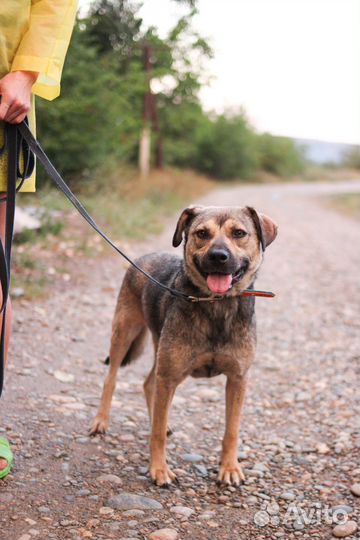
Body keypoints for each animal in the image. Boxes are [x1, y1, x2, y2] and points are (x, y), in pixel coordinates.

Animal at [90, 205, 278, 488]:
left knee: (149, 383)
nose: (218, 256)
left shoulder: (238, 378)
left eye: (239, 233)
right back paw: (101, 421)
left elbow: (231, 430)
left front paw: (229, 468)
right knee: (111, 379)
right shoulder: (169, 376)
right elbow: (157, 434)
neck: (215, 305)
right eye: (202, 233)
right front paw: (159, 470)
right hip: (124, 333)